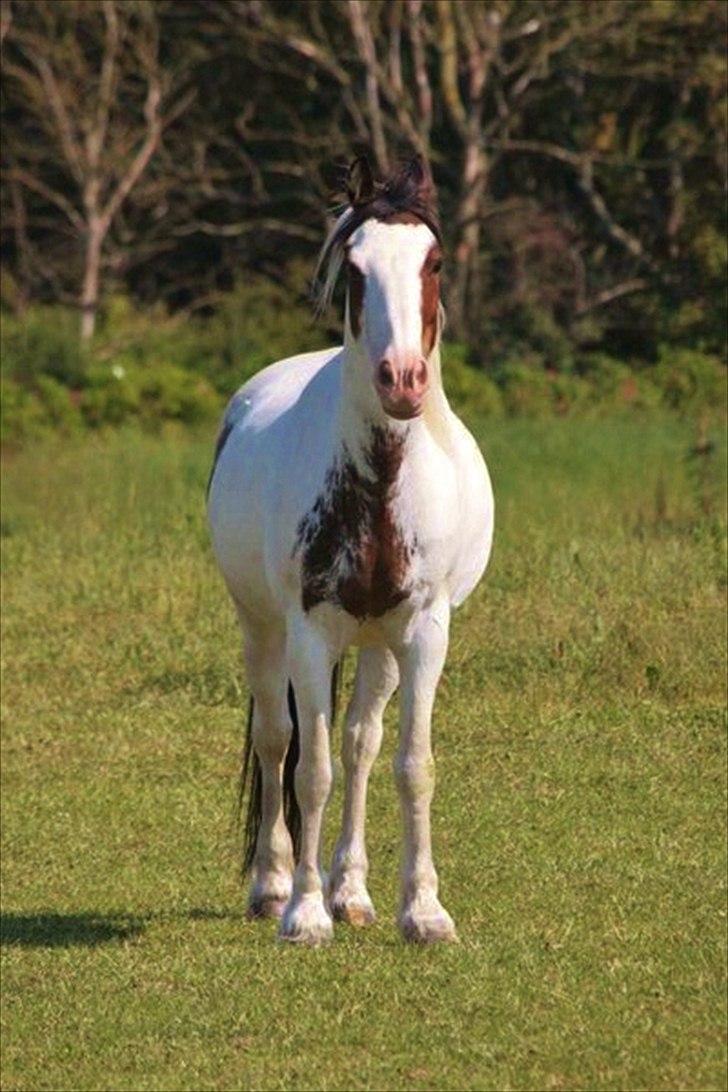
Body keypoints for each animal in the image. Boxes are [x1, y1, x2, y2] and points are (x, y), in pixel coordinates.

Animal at [207, 156, 497, 947]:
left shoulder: (426, 633)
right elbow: (311, 771)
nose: (402, 379)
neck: (379, 484)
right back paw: (275, 885)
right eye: (356, 268)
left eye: (433, 262)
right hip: (262, 628)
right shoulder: (309, 633)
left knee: (363, 745)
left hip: (378, 644)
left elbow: (410, 764)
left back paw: (353, 892)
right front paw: (305, 915)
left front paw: (422, 911)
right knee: (278, 740)